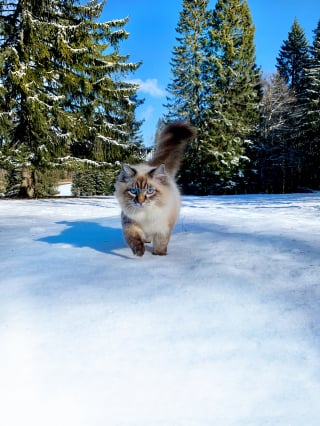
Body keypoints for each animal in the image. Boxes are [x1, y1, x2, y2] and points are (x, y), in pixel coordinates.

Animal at [114, 121, 195, 258]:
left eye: (150, 191)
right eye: (133, 191)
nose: (140, 202)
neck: (146, 213)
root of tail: (151, 165)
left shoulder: (162, 228)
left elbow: (161, 243)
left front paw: (158, 255)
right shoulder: (130, 223)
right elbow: (134, 239)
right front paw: (139, 252)